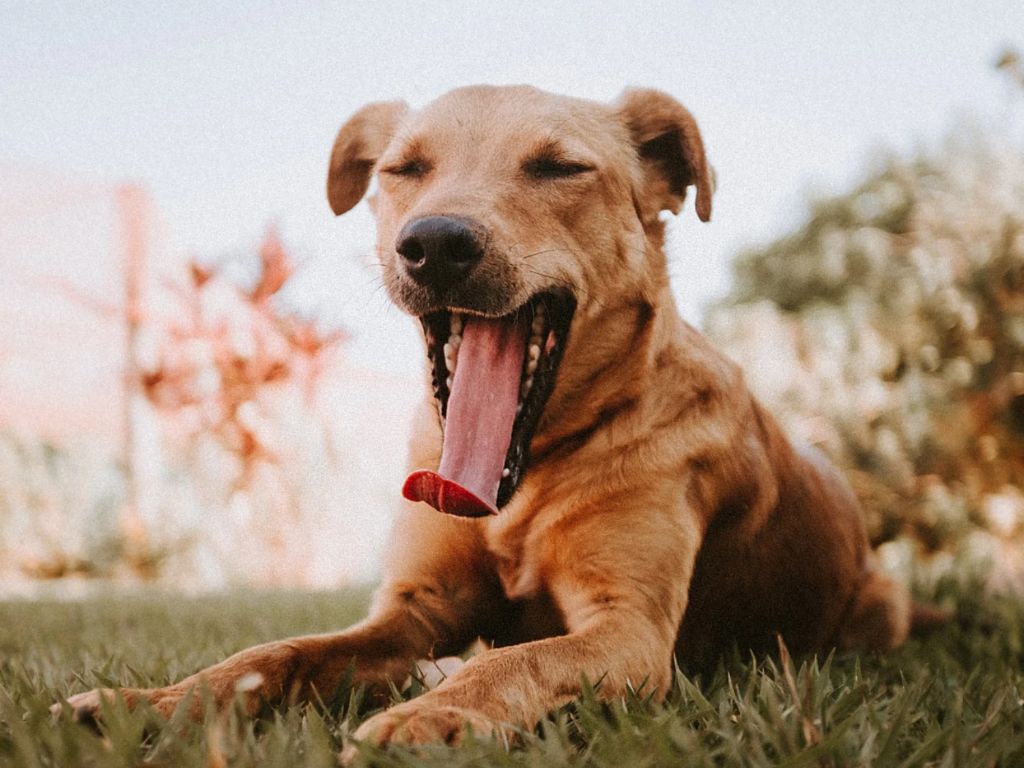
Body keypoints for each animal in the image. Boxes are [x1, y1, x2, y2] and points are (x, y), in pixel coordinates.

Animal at [58, 87, 921, 753]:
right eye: (404, 169)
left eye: (559, 167)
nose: (435, 244)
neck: (525, 475)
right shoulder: (412, 610)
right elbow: (270, 654)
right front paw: (155, 703)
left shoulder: (631, 632)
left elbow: (514, 662)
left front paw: (430, 718)